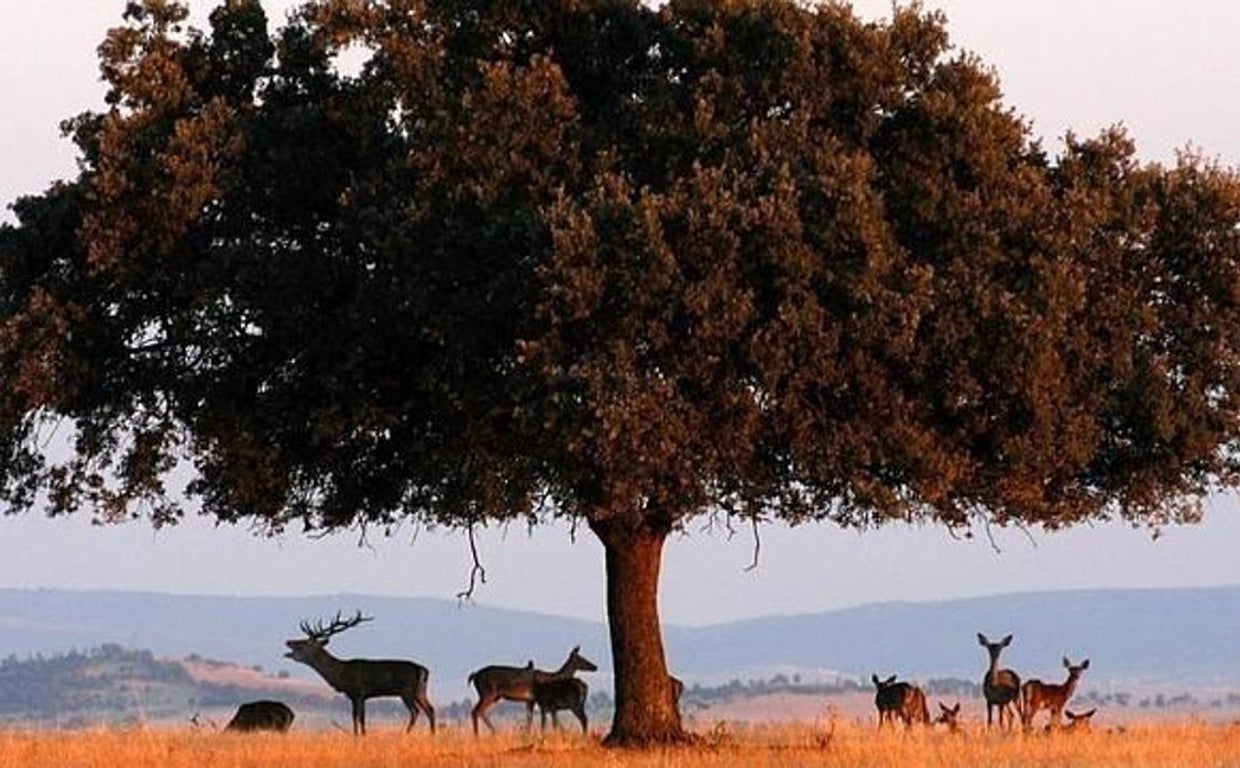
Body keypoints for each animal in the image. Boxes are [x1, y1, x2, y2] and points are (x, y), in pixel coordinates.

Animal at [283, 610, 436, 734]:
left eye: (305, 643)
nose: (288, 641)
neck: (340, 673)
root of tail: (423, 670)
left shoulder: (360, 692)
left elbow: (361, 718)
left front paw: (362, 736)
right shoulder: (352, 696)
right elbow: (354, 717)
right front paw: (356, 736)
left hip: (406, 690)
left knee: (415, 711)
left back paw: (406, 734)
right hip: (420, 691)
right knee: (430, 709)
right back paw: (432, 735)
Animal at [466, 645, 597, 734]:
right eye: (582, 659)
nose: (595, 667)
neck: (550, 677)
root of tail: (474, 675)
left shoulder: (530, 699)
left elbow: (529, 718)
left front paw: (527, 734)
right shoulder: (536, 698)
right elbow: (537, 718)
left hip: (494, 697)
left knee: (479, 711)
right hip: (488, 693)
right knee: (476, 711)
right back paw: (488, 734)